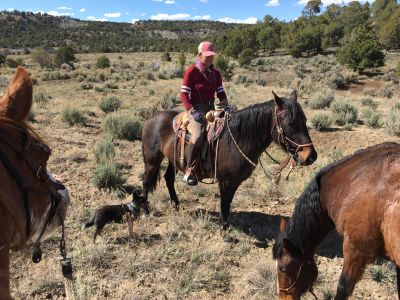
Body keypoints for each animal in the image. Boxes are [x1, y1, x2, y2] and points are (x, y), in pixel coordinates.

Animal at [142, 91, 318, 227]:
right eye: (291, 123)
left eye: (305, 120)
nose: (311, 156)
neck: (238, 139)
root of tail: (153, 117)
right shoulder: (226, 181)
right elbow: (224, 203)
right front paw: (223, 228)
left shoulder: (235, 181)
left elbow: (228, 203)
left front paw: (225, 224)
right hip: (152, 161)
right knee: (146, 180)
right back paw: (144, 210)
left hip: (173, 159)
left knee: (168, 178)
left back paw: (176, 205)